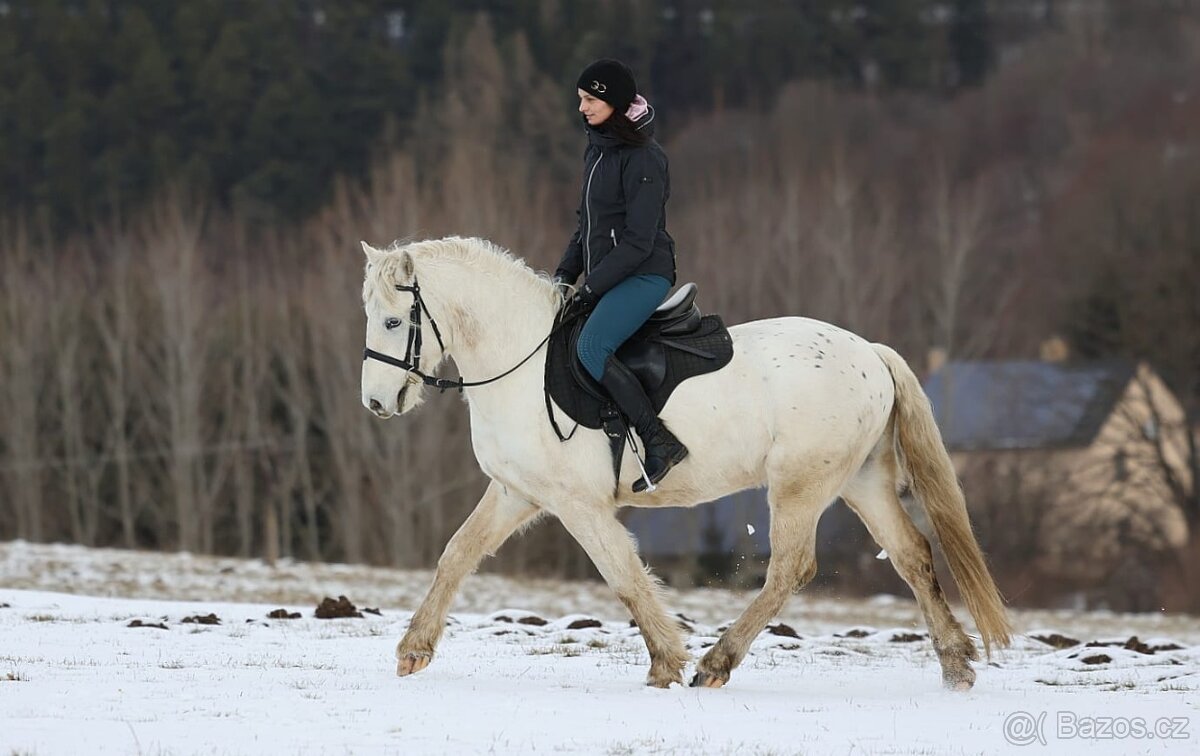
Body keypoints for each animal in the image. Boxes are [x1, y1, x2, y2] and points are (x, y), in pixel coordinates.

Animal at [359, 236, 1012, 690]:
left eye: (393, 321)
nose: (376, 404)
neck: (521, 359)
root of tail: (871, 353)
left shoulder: (578, 504)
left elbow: (624, 575)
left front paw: (665, 663)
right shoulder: (516, 492)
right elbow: (456, 555)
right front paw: (413, 649)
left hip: (800, 486)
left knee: (790, 569)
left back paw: (717, 663)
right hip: (861, 481)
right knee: (913, 555)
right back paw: (957, 666)